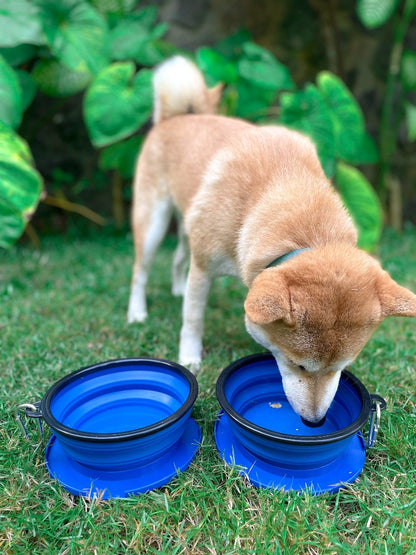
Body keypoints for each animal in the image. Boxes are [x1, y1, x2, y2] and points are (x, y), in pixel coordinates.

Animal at [127, 56, 416, 424]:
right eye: (299, 365)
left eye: (342, 368)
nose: (314, 421)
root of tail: (178, 116)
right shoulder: (205, 267)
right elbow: (193, 318)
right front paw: (190, 357)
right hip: (153, 222)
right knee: (141, 271)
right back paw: (137, 312)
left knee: (179, 258)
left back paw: (177, 288)